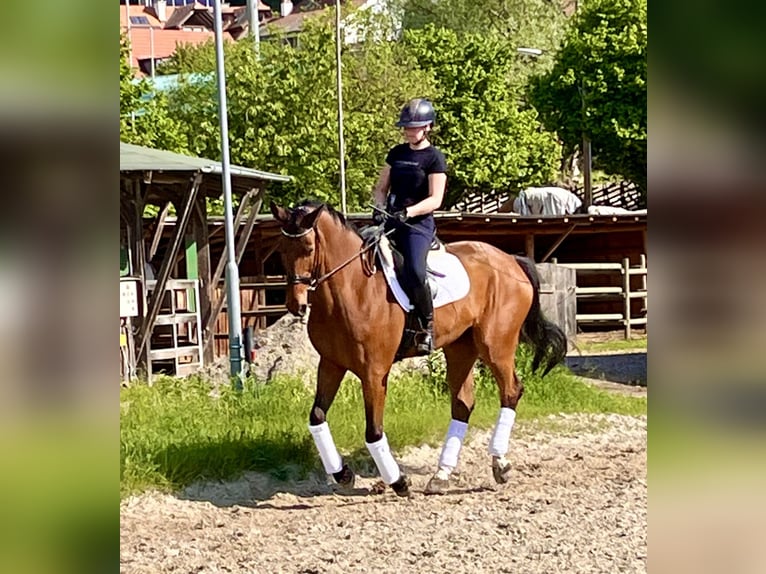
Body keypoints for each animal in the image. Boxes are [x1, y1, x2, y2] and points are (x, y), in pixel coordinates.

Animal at [272, 200, 568, 498]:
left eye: (308, 248)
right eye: (282, 250)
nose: (296, 305)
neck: (352, 289)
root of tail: (511, 261)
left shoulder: (374, 372)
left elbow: (373, 431)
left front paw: (398, 482)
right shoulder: (331, 364)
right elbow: (317, 417)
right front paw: (342, 473)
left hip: (495, 345)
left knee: (510, 391)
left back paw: (500, 464)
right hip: (461, 347)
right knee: (462, 404)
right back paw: (442, 475)